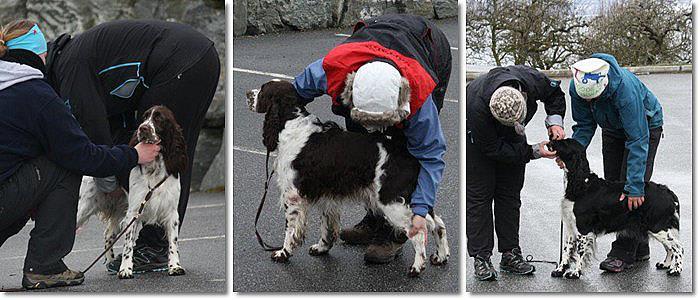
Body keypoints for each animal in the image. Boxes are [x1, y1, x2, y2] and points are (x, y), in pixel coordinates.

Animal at [76, 105, 189, 278]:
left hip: (119, 206)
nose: (143, 128)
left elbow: (173, 243)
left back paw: (110, 262)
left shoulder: (171, 212)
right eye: (144, 117)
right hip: (85, 207)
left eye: (159, 118)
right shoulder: (133, 212)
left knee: (108, 233)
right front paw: (125, 269)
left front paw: (175, 266)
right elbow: (128, 245)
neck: (154, 167)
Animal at [245, 80, 448, 276]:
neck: (292, 122)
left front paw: (283, 253)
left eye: (263, 90)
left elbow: (290, 228)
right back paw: (441, 256)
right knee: (437, 223)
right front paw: (321, 248)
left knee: (419, 232)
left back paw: (417, 267)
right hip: (408, 198)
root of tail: (411, 158)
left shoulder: (292, 195)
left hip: (391, 202)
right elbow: (327, 226)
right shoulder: (327, 195)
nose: (247, 94)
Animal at [548, 139, 680, 278]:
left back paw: (675, 270)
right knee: (670, 247)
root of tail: (668, 192)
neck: (582, 184)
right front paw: (559, 270)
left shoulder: (583, 229)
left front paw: (575, 272)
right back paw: (665, 264)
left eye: (565, 143)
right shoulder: (570, 227)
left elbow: (579, 252)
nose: (550, 141)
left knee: (677, 247)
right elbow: (566, 250)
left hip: (657, 226)